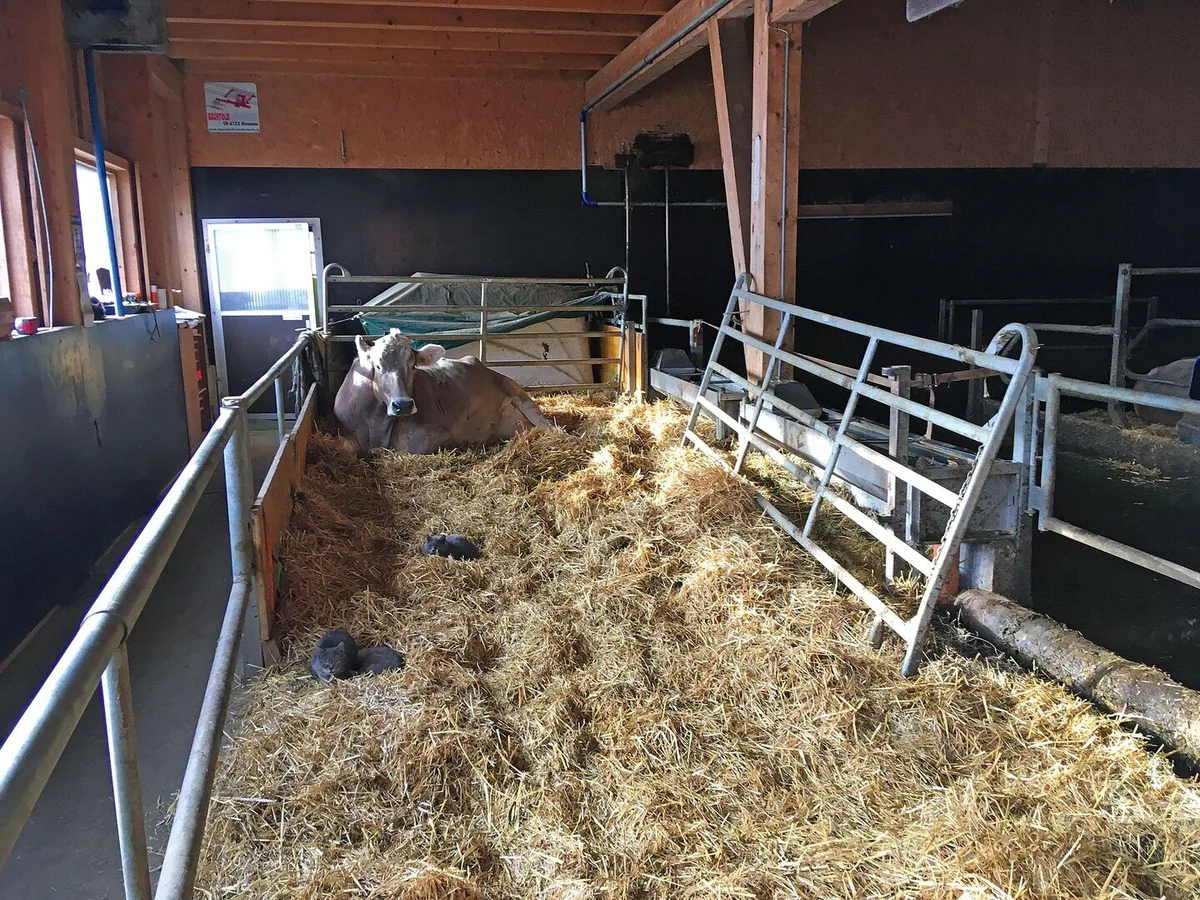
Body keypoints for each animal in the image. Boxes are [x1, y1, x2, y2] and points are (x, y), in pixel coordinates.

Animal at [334, 329, 553, 455]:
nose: (403, 404)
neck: (376, 423)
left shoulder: (429, 435)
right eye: (377, 366)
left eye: (413, 366)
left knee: (548, 425)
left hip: (517, 392)